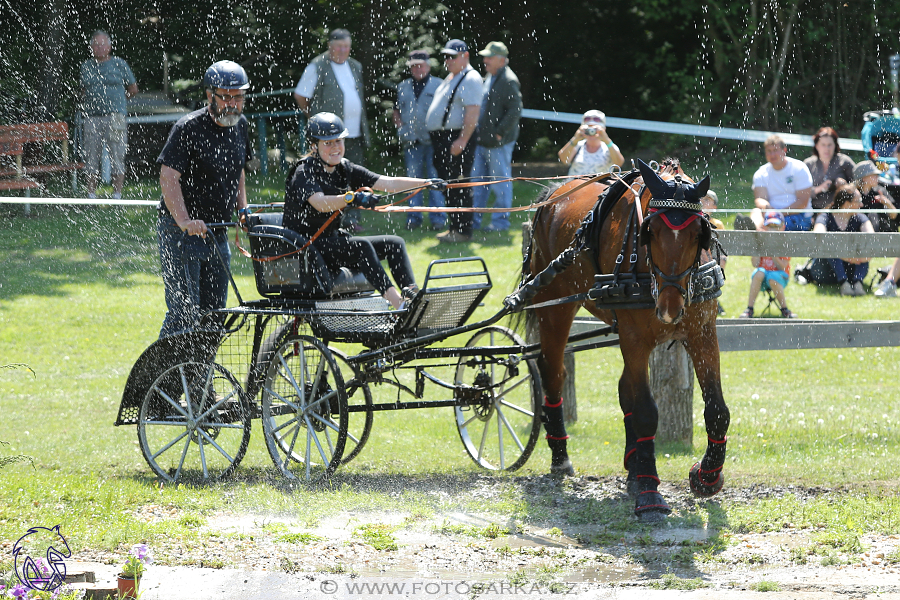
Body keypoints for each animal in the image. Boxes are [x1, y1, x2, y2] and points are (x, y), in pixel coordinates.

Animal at [510, 159, 728, 520]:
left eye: (700, 234)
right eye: (649, 232)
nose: (670, 308)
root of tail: (554, 193)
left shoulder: (702, 332)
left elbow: (717, 410)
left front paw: (707, 476)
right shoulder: (635, 338)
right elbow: (646, 412)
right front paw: (650, 492)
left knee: (624, 388)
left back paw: (632, 467)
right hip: (555, 307)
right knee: (553, 371)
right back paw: (560, 456)